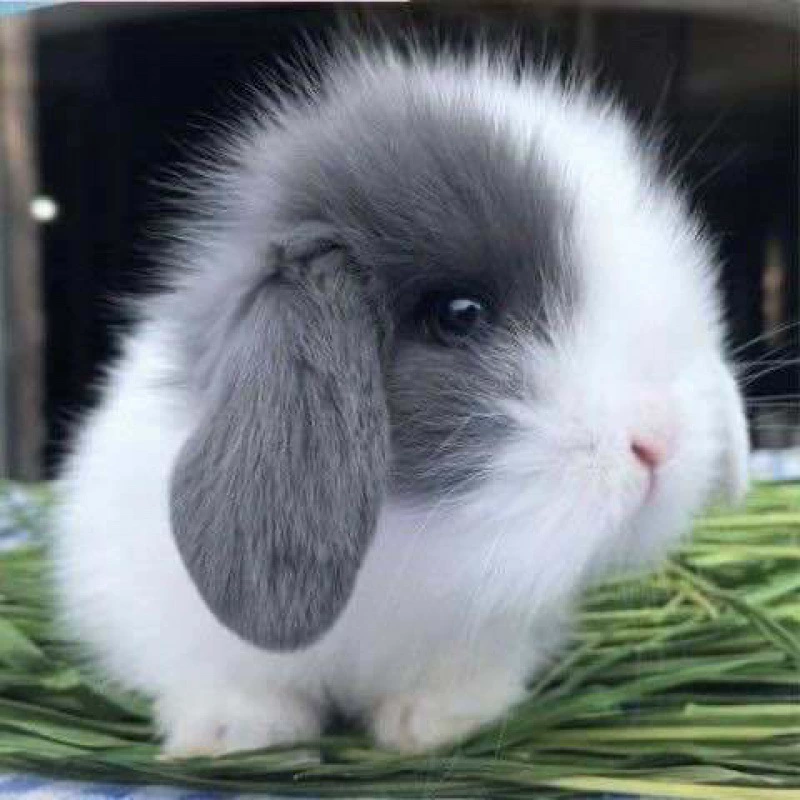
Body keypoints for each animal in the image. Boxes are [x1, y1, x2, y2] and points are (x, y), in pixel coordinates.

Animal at [52, 45, 750, 757]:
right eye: (459, 315)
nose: (660, 441)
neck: (403, 541)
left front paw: (433, 726)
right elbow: (229, 680)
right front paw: (233, 733)